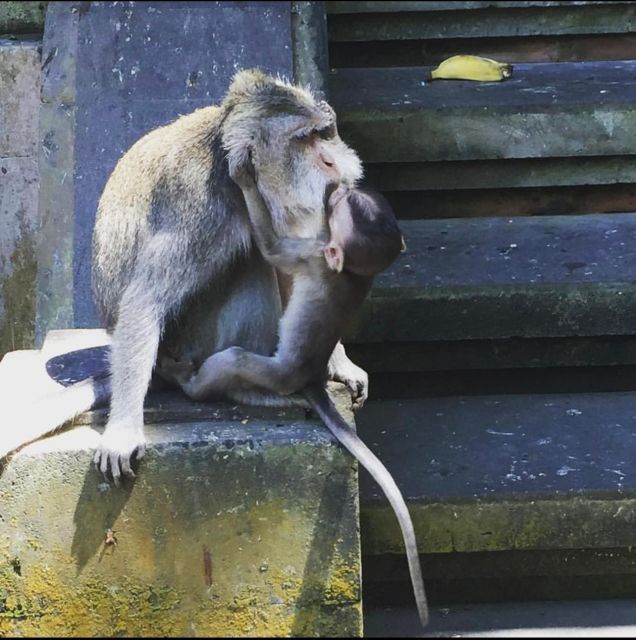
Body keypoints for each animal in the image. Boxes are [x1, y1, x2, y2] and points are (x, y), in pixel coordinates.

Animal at [92, 69, 366, 480]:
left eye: (324, 133)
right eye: (303, 139)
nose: (331, 162)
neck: (233, 176)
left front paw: (340, 363)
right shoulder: (199, 211)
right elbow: (145, 301)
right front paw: (123, 430)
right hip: (192, 344)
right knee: (251, 263)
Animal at [176, 174, 430, 624]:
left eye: (341, 207)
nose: (337, 188)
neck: (349, 271)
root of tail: (310, 376)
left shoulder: (313, 255)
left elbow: (272, 249)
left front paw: (244, 177)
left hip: (278, 373)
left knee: (235, 360)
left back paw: (190, 382)